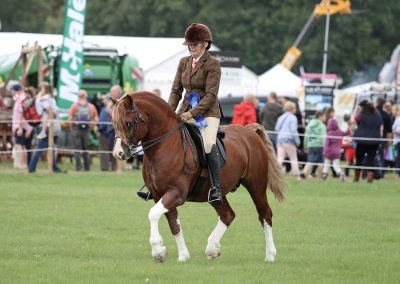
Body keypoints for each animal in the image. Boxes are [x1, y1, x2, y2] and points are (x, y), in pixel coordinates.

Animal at [111, 91, 286, 262]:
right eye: (114, 123)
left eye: (129, 123)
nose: (118, 153)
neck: (165, 146)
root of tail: (249, 131)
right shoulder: (158, 194)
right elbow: (174, 224)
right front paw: (182, 256)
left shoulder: (176, 193)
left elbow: (153, 214)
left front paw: (158, 249)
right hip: (217, 193)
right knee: (227, 215)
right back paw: (212, 248)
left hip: (256, 186)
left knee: (265, 214)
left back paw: (270, 255)